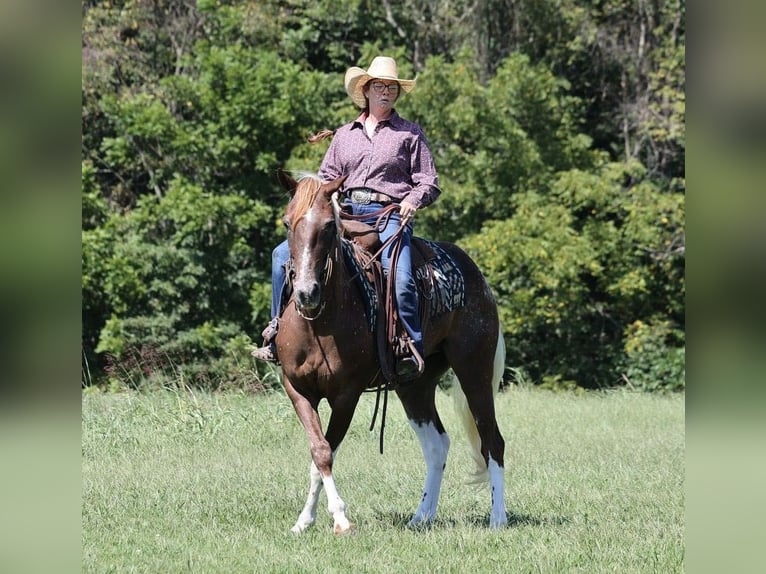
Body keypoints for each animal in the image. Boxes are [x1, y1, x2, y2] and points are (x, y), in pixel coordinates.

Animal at [273, 170, 508, 533]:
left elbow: (328, 451)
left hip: (474, 371)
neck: (319, 323)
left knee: (492, 440)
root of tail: (476, 276)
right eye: (287, 223)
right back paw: (421, 517)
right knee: (437, 445)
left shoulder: (347, 394)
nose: (307, 293)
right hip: (415, 386)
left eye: (328, 227)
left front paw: (341, 519)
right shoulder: (296, 388)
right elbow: (318, 451)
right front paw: (304, 521)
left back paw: (497, 518)